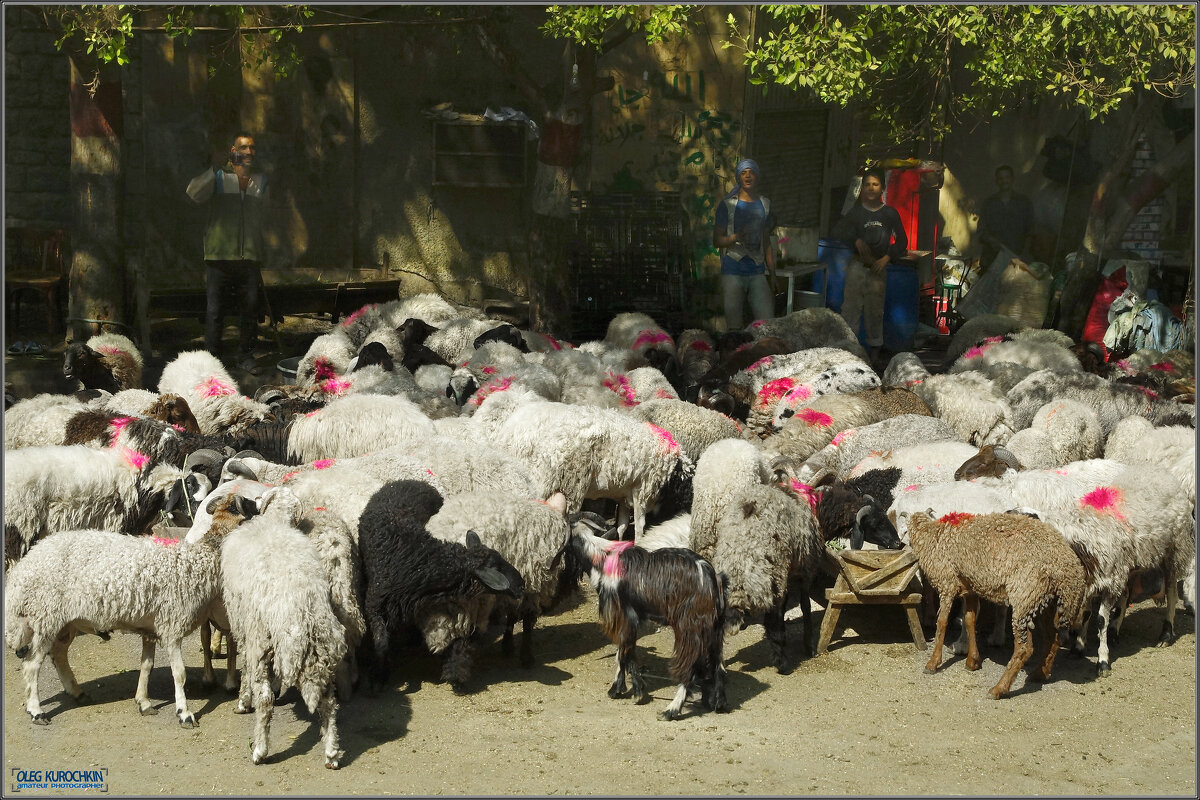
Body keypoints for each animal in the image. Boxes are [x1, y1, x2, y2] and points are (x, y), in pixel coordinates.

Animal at [355, 482, 525, 695]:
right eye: (497, 567)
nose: (522, 585)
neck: (417, 562)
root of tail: (412, 481)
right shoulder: (374, 606)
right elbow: (381, 643)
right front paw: (378, 678)